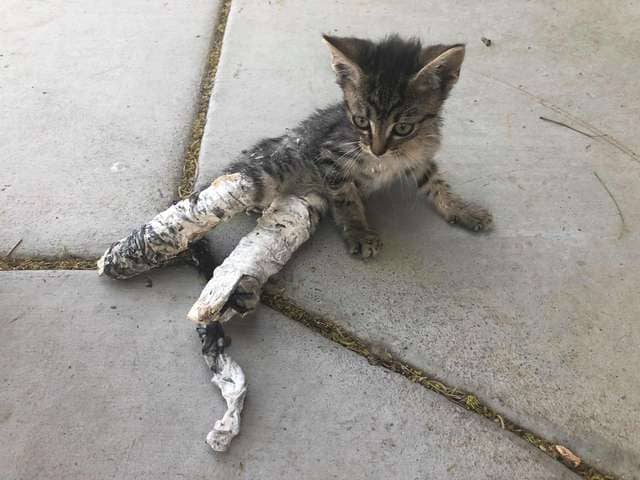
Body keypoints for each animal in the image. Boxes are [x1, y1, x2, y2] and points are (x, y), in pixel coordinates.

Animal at [225, 33, 496, 258]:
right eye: (361, 121)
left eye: (403, 128)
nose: (377, 150)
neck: (392, 157)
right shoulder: (331, 155)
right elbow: (346, 198)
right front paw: (358, 232)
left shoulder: (421, 157)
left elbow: (437, 183)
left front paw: (461, 208)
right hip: (268, 173)